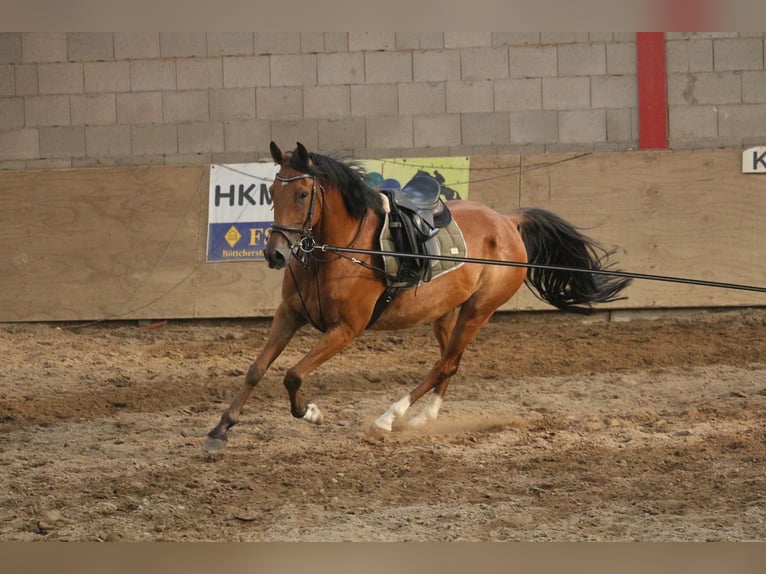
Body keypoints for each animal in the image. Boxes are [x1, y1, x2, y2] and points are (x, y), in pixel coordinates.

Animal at [202, 143, 632, 454]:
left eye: (304, 193)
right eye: (272, 191)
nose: (275, 254)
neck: (339, 250)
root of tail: (509, 222)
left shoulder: (346, 329)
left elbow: (292, 374)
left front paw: (311, 412)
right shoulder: (290, 313)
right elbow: (256, 369)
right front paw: (220, 430)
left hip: (478, 311)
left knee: (445, 365)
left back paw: (388, 419)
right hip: (444, 312)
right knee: (449, 364)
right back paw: (423, 419)